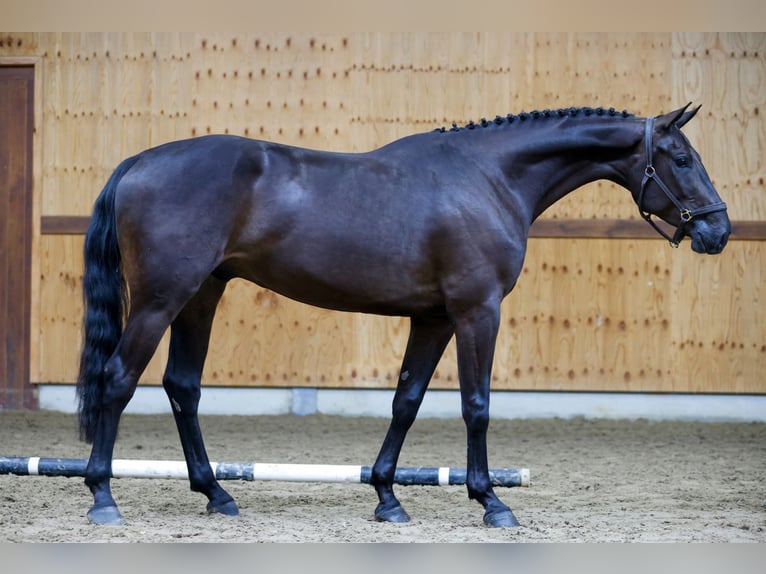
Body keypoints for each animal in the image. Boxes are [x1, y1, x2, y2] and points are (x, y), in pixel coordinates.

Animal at [78, 102, 732, 528]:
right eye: (679, 157)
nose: (718, 231)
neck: (487, 179)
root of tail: (137, 163)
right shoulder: (476, 312)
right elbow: (476, 406)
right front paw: (491, 501)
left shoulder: (434, 319)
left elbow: (406, 402)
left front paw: (388, 497)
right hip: (161, 300)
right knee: (117, 381)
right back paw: (103, 497)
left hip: (200, 297)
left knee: (182, 387)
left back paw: (216, 493)